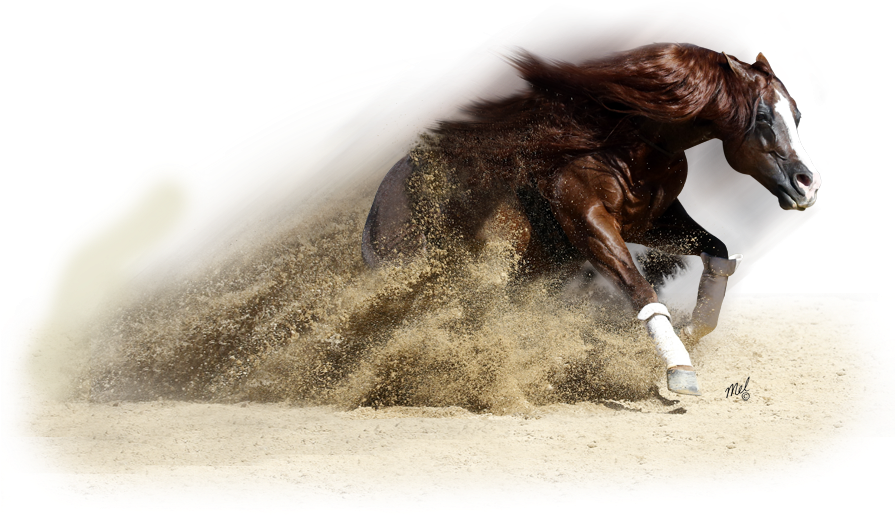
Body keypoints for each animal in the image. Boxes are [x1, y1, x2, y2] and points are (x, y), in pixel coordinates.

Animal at [362, 42, 821, 396]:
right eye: (763, 117)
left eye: (798, 117)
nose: (807, 182)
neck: (625, 148)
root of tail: (376, 212)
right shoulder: (588, 221)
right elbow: (638, 286)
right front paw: (679, 368)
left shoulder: (657, 221)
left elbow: (720, 250)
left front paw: (693, 328)